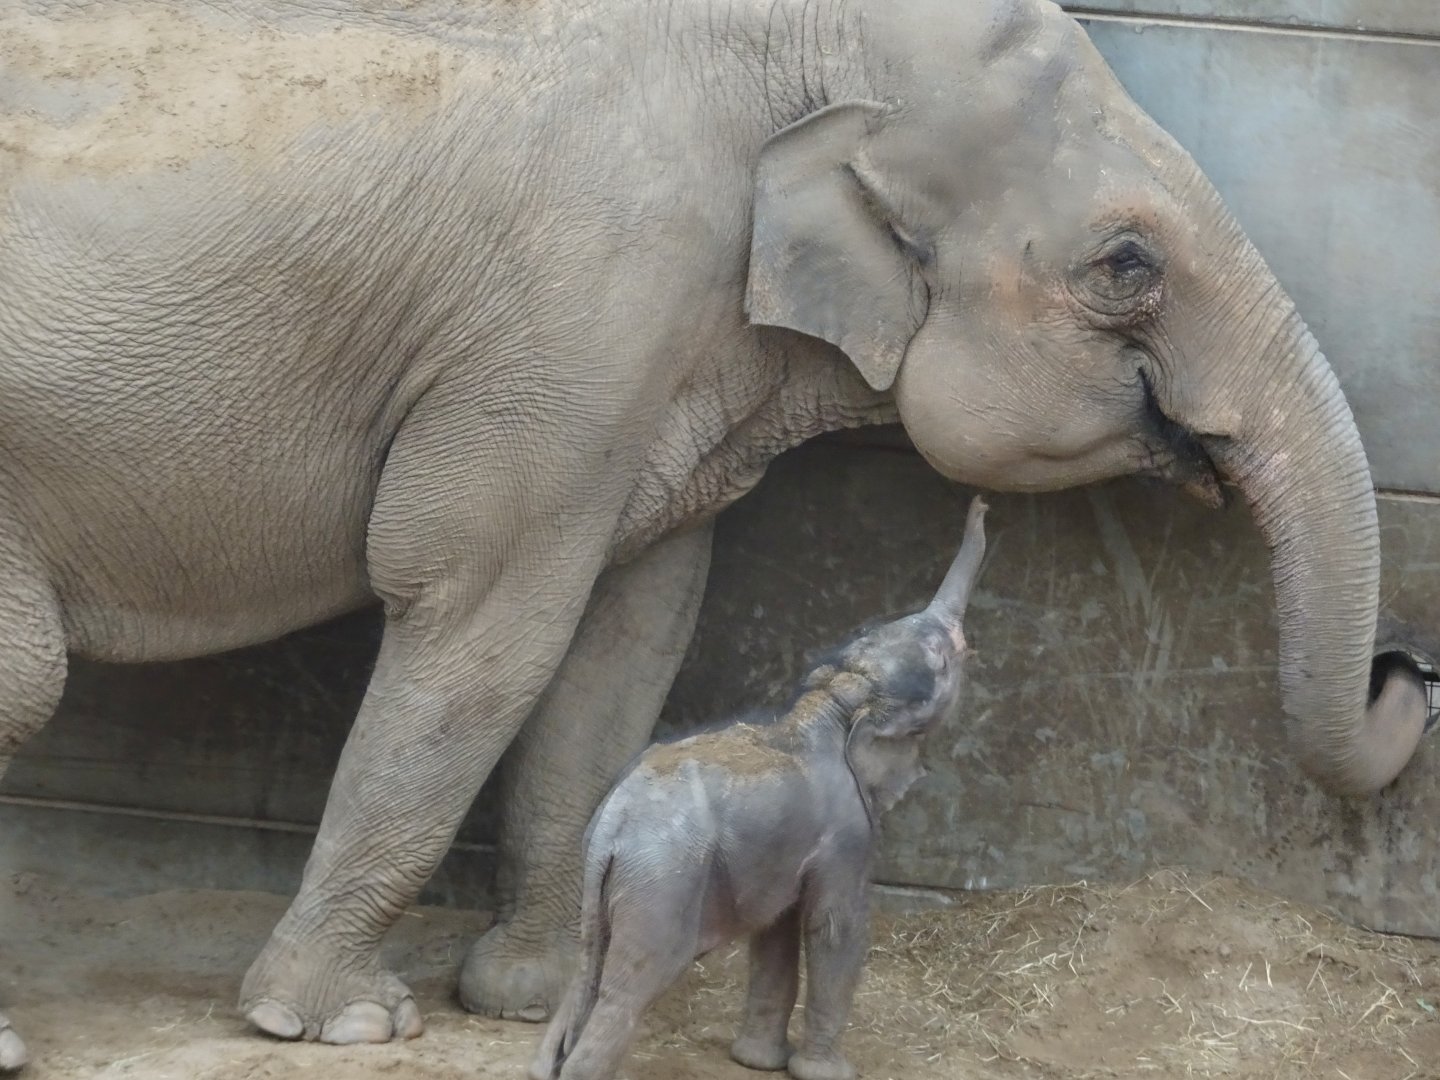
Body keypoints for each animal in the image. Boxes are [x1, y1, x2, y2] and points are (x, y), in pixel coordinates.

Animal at [530, 499, 988, 1080]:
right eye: (940, 660)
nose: (981, 503)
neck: (834, 701)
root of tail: (613, 824)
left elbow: (776, 932)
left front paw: (756, 1062)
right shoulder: (848, 832)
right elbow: (834, 925)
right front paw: (828, 1073)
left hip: (606, 885)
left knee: (586, 971)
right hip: (662, 881)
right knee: (631, 987)